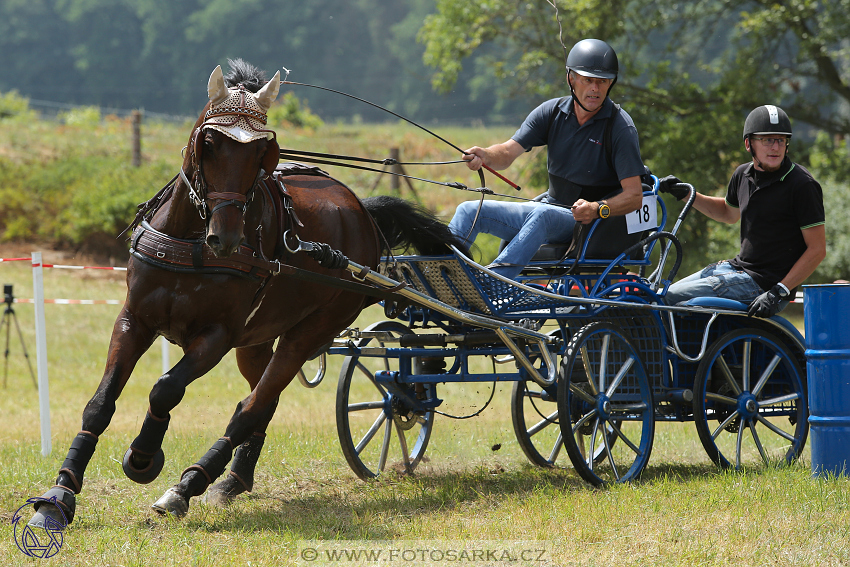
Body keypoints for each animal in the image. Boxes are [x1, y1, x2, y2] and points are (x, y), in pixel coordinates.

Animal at [28, 58, 464, 528]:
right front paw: (59, 494)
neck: (192, 243)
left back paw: (187, 487)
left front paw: (143, 457)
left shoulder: (217, 336)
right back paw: (232, 480)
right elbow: (101, 402)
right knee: (263, 402)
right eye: (210, 143)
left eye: (260, 155)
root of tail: (363, 214)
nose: (227, 237)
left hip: (307, 333)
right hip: (256, 341)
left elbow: (166, 388)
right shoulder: (134, 318)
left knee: (251, 407)